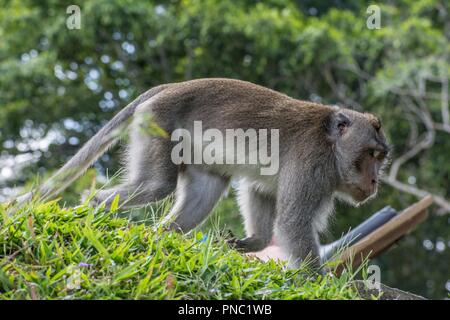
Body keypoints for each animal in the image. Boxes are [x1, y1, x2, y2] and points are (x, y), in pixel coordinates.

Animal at [14, 78, 390, 270]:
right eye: (370, 155)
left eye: (381, 157)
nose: (374, 181)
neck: (331, 145)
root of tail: (173, 86)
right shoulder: (312, 166)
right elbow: (293, 224)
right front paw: (317, 282)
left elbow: (260, 190)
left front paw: (251, 242)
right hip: (159, 122)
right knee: (156, 185)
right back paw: (93, 208)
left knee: (203, 191)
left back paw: (162, 236)